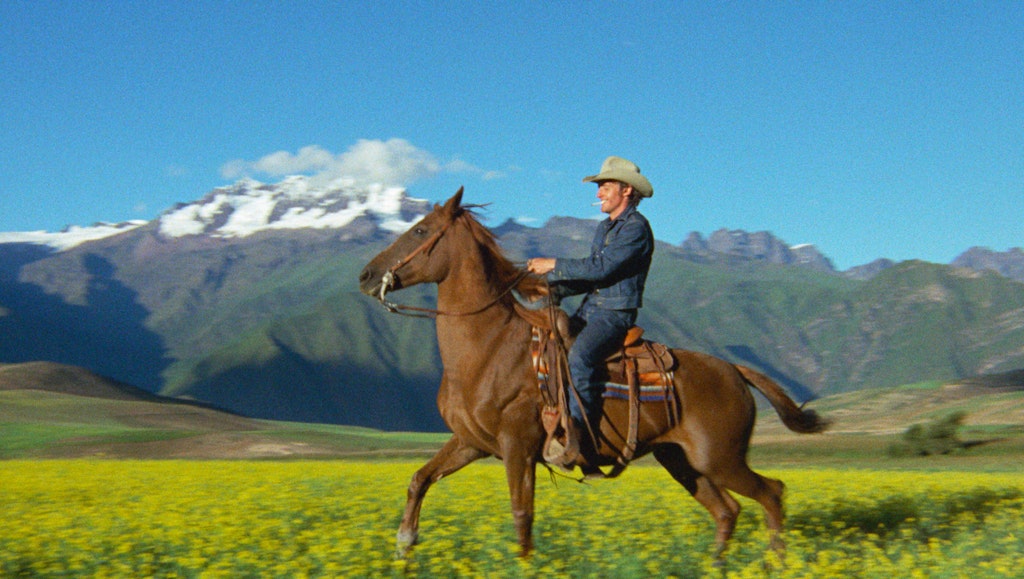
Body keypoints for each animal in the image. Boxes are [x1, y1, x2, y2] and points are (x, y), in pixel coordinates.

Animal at [358, 188, 829, 562]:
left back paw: (776, 563)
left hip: (721, 459)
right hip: (683, 462)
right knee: (727, 511)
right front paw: (404, 544)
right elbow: (419, 480)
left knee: (771, 493)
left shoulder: (517, 446)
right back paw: (716, 565)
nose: (366, 275)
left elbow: (522, 514)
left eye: (420, 231)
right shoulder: (471, 442)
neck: (488, 348)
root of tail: (733, 370)